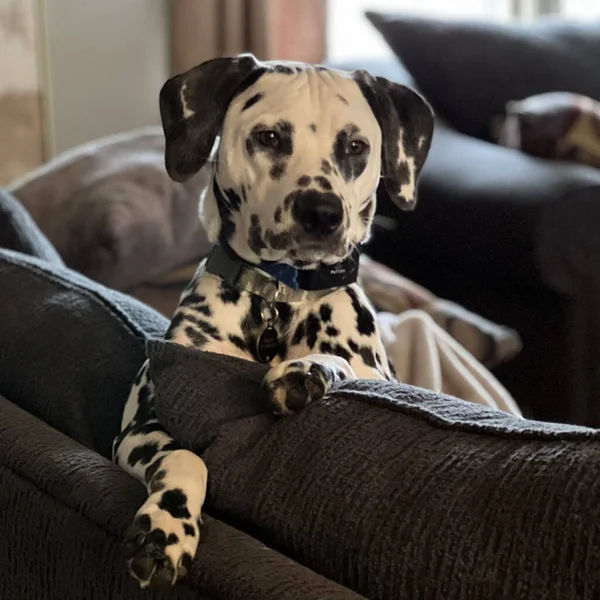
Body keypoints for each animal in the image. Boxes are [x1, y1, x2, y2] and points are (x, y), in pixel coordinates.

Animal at [111, 54, 432, 588]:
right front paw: (163, 529)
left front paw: (307, 370)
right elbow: (185, 455)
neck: (279, 302)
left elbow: (341, 365)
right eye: (269, 137)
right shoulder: (138, 429)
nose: (321, 212)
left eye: (355, 146)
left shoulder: (374, 375)